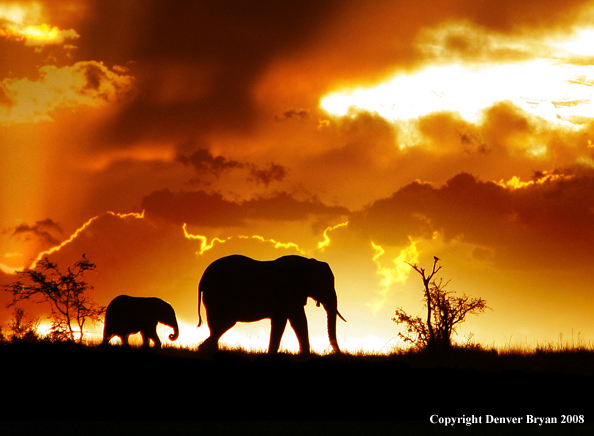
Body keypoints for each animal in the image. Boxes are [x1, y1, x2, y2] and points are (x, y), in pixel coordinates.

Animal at [197, 255, 344, 354]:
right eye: (324, 284)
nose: (336, 352)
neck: (308, 262)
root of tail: (202, 278)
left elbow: (292, 321)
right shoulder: (288, 293)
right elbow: (295, 321)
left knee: (216, 324)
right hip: (216, 295)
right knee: (224, 322)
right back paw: (204, 348)